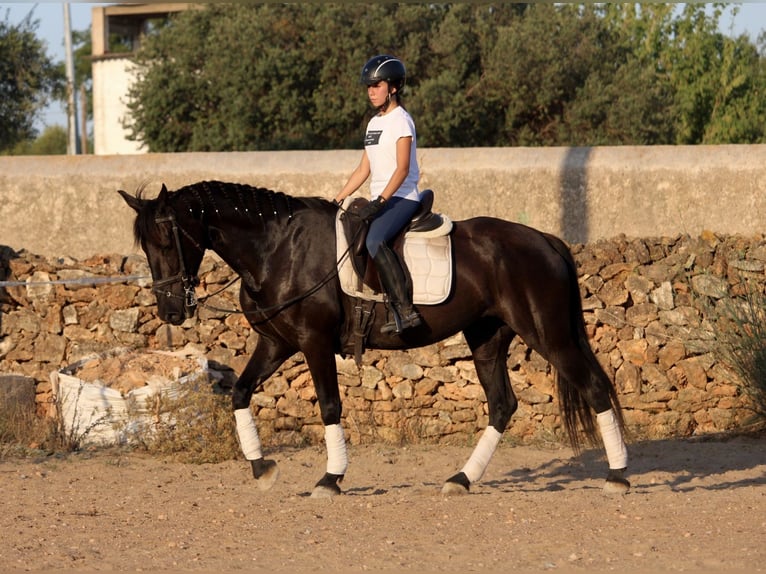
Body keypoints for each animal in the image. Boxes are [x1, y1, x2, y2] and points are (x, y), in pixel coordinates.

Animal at [120, 181, 632, 500]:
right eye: (145, 246)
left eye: (167, 239)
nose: (171, 311)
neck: (276, 249)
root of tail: (545, 239)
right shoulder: (277, 343)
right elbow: (241, 393)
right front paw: (262, 469)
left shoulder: (313, 342)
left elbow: (329, 406)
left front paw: (330, 479)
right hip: (487, 335)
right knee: (503, 404)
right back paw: (461, 479)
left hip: (548, 333)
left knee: (594, 388)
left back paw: (618, 476)